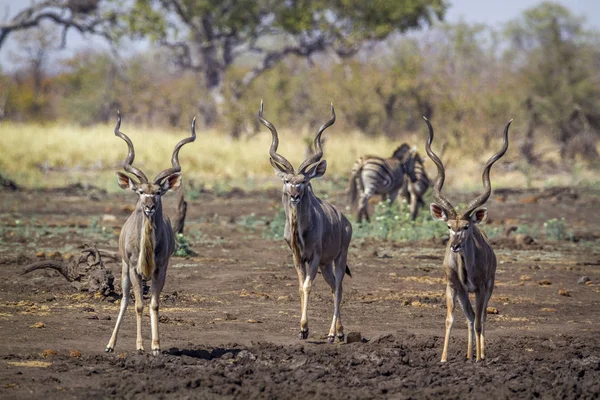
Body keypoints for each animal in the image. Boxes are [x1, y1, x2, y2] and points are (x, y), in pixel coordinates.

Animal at [104, 112, 196, 356]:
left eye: (158, 192)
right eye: (140, 191)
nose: (149, 207)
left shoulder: (161, 268)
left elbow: (154, 303)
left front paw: (156, 346)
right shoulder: (133, 268)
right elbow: (138, 305)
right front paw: (139, 346)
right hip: (124, 269)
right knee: (125, 299)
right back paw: (110, 345)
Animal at [258, 101, 352, 342]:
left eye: (303, 181)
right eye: (287, 180)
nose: (294, 196)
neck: (300, 232)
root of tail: (345, 222)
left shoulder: (314, 257)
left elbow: (309, 286)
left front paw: (305, 328)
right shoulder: (297, 257)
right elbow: (301, 287)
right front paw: (302, 329)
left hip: (339, 258)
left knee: (339, 288)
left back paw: (332, 334)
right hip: (326, 265)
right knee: (334, 287)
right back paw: (340, 331)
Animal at [424, 116, 512, 362]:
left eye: (466, 226)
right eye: (449, 226)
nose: (455, 246)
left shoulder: (481, 287)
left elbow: (481, 321)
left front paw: (480, 359)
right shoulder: (453, 286)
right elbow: (452, 319)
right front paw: (444, 358)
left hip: (489, 286)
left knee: (481, 318)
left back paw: (479, 355)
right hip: (465, 293)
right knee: (471, 317)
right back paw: (468, 354)